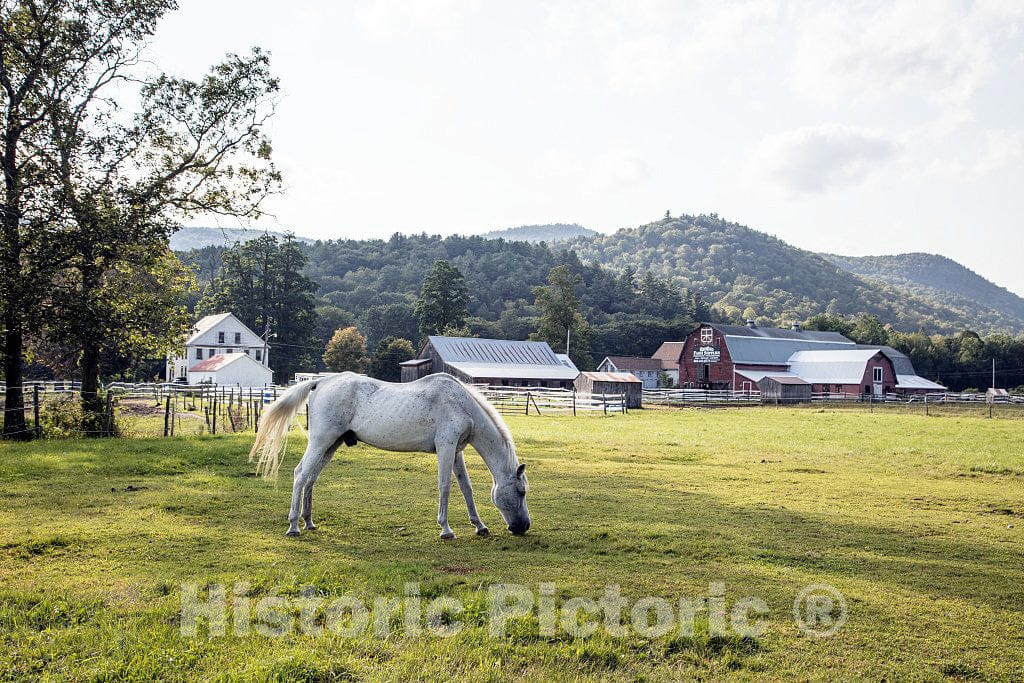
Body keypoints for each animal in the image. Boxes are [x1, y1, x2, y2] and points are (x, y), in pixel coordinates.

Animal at [248, 372, 530, 539]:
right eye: (521, 492)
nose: (523, 527)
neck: (459, 402)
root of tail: (321, 382)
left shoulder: (456, 451)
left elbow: (466, 487)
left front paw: (479, 526)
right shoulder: (446, 447)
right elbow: (445, 487)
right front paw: (446, 529)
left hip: (331, 445)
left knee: (311, 479)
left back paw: (309, 522)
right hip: (320, 442)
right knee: (300, 474)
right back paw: (294, 526)